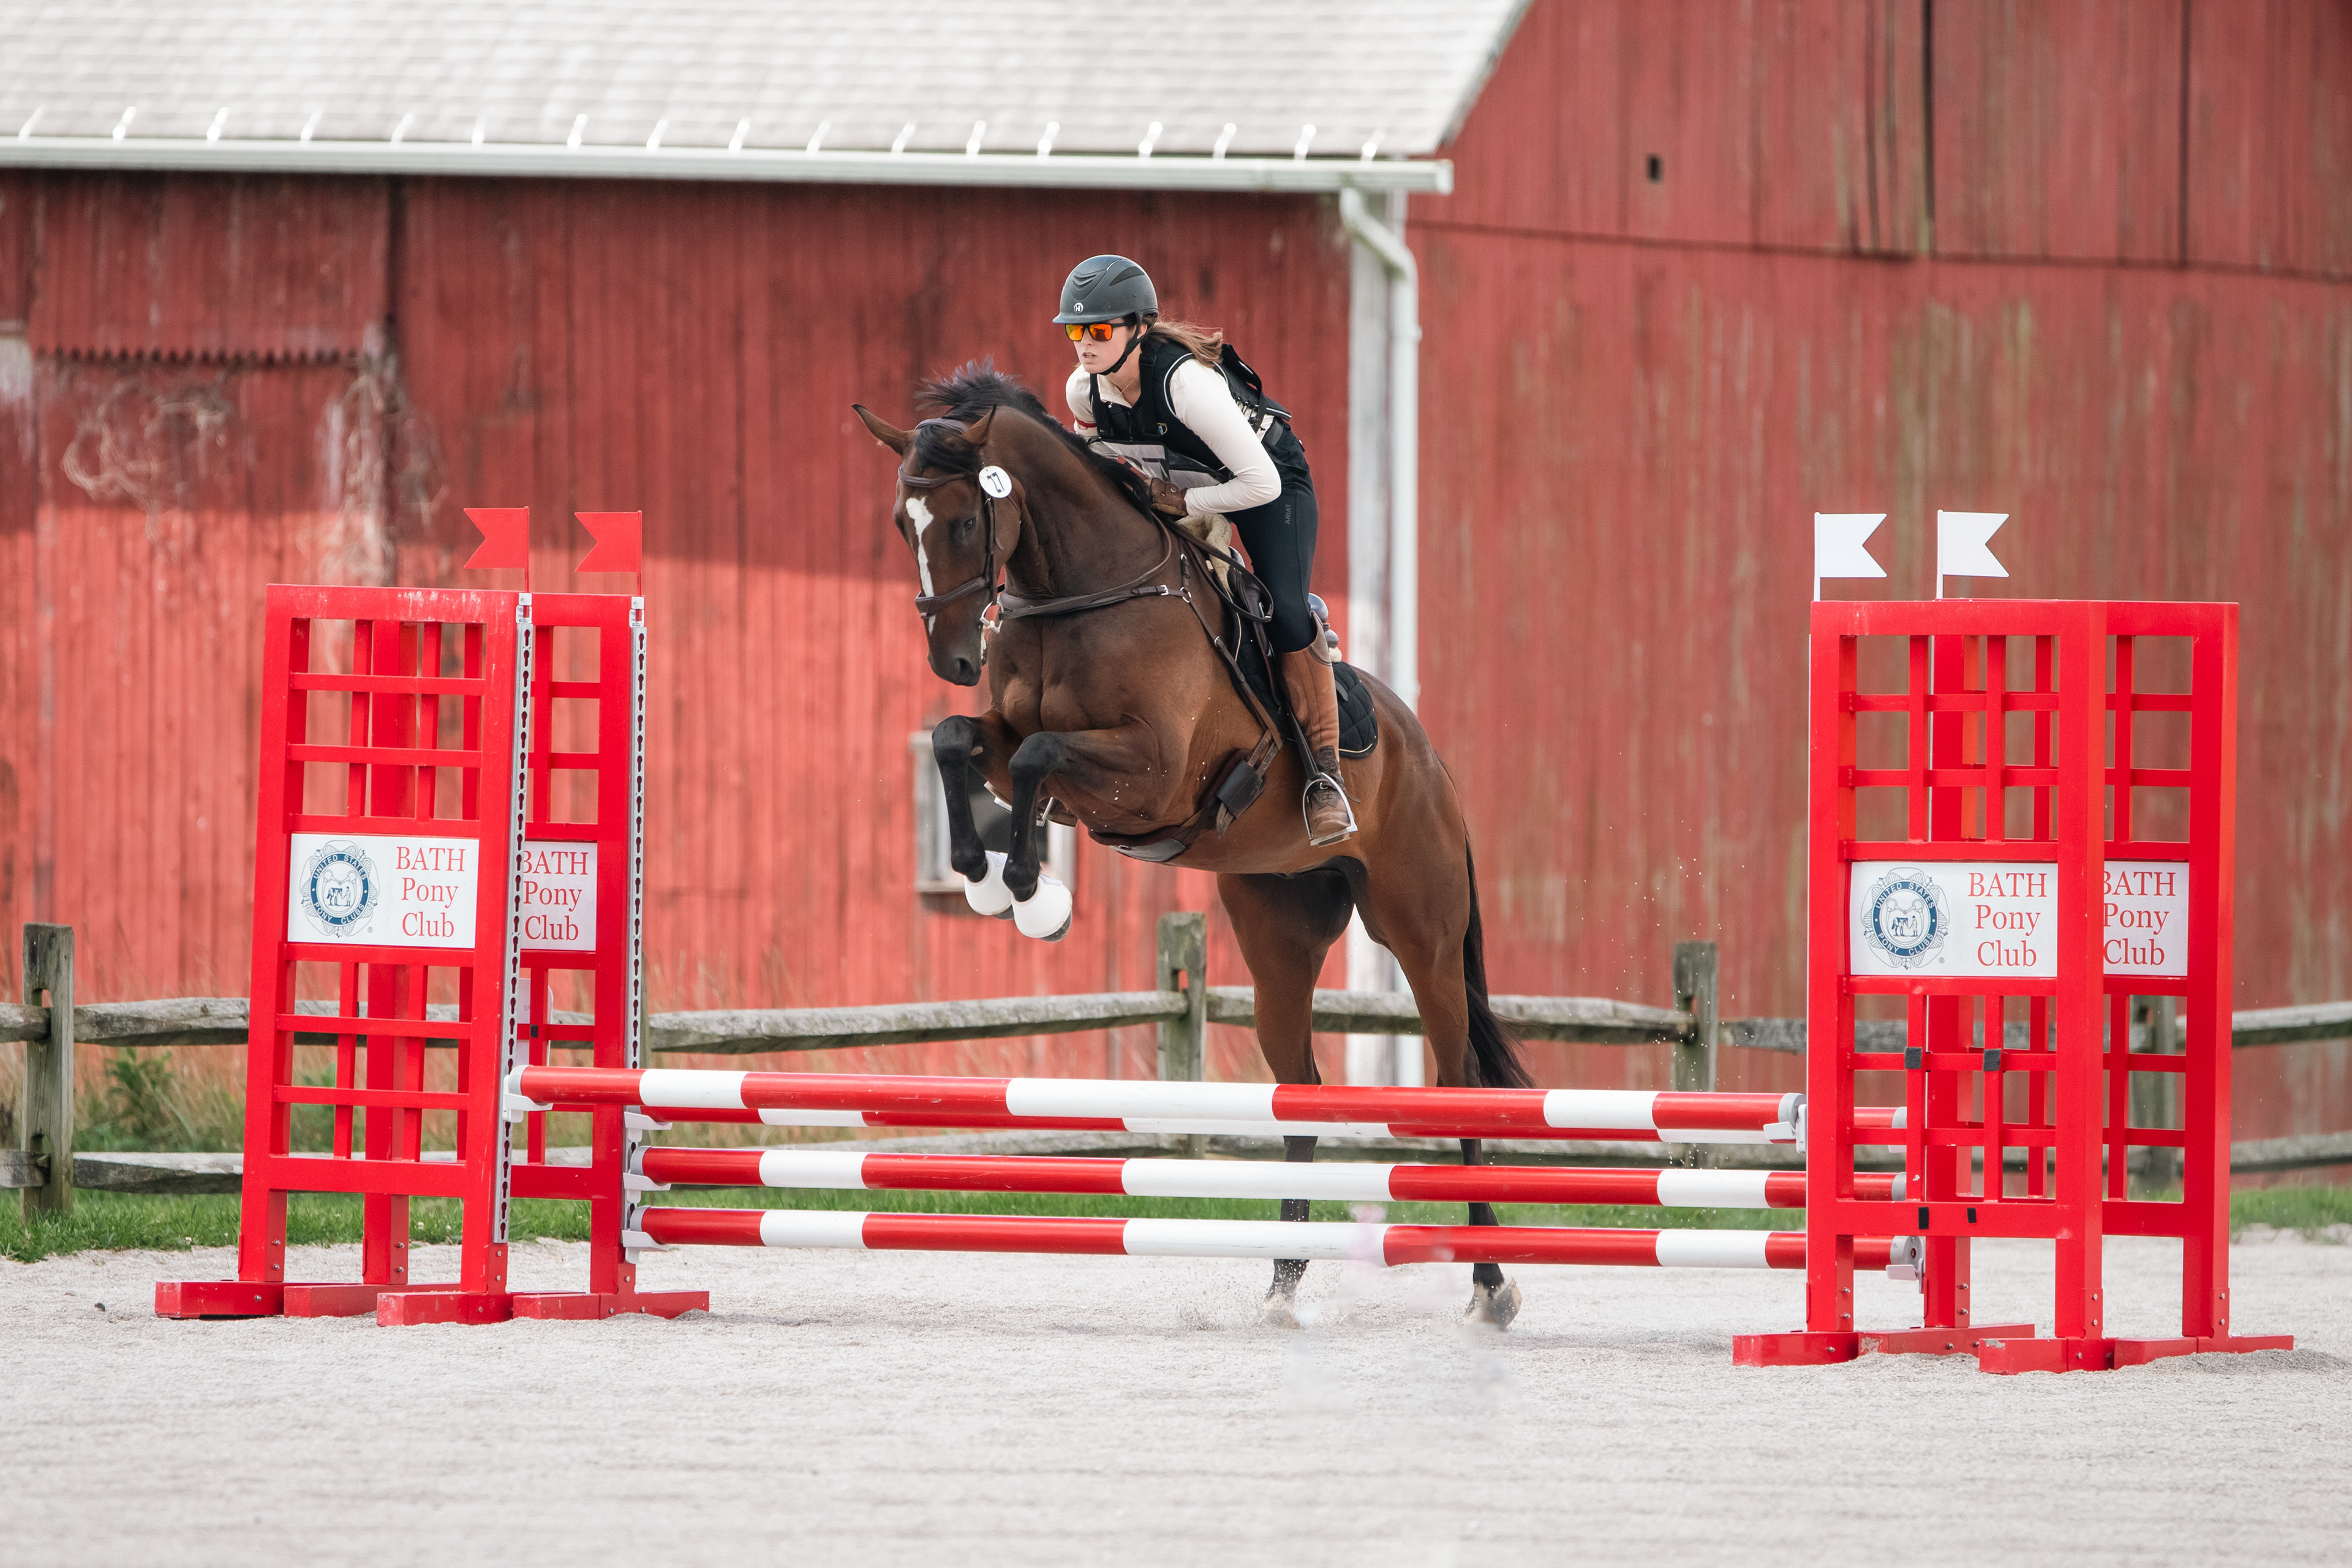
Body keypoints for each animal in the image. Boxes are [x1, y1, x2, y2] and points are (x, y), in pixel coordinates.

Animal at [851, 363, 1534, 1328]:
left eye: (961, 522)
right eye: (898, 523)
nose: (951, 659)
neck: (1081, 592)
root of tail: (1435, 765)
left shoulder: (1153, 771)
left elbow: (1034, 754)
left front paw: (1031, 892)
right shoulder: (1018, 738)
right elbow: (961, 740)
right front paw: (989, 881)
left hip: (1422, 932)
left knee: (1457, 1079)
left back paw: (1490, 1284)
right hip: (1278, 934)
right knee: (1301, 1088)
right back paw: (1283, 1285)